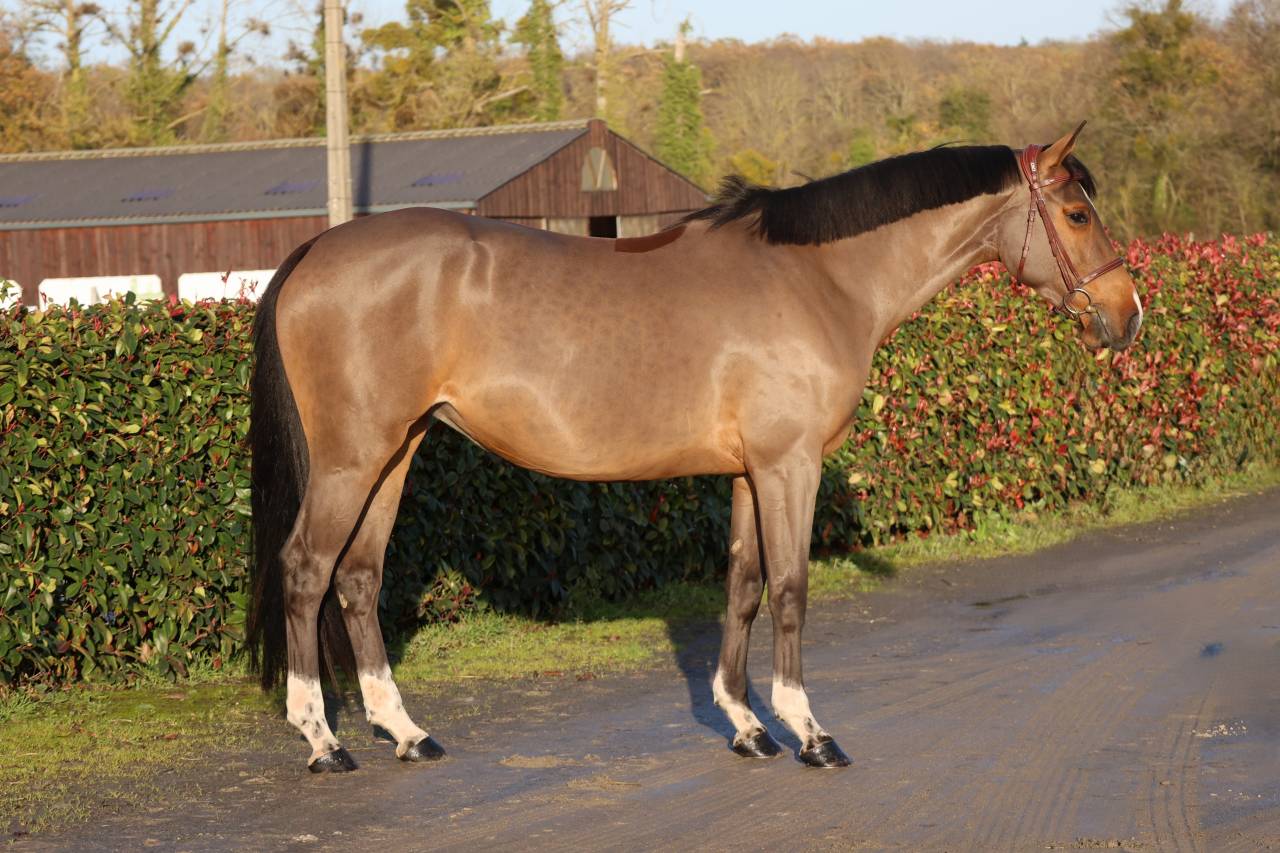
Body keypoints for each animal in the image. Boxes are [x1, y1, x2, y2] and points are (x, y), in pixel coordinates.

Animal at [246, 123, 1143, 772]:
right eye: (1076, 214)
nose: (1127, 315)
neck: (820, 278)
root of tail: (313, 252)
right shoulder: (790, 464)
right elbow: (790, 589)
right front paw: (809, 730)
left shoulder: (750, 471)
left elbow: (742, 587)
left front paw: (747, 725)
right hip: (352, 459)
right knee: (307, 570)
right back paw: (322, 739)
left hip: (396, 452)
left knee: (359, 579)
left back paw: (405, 731)